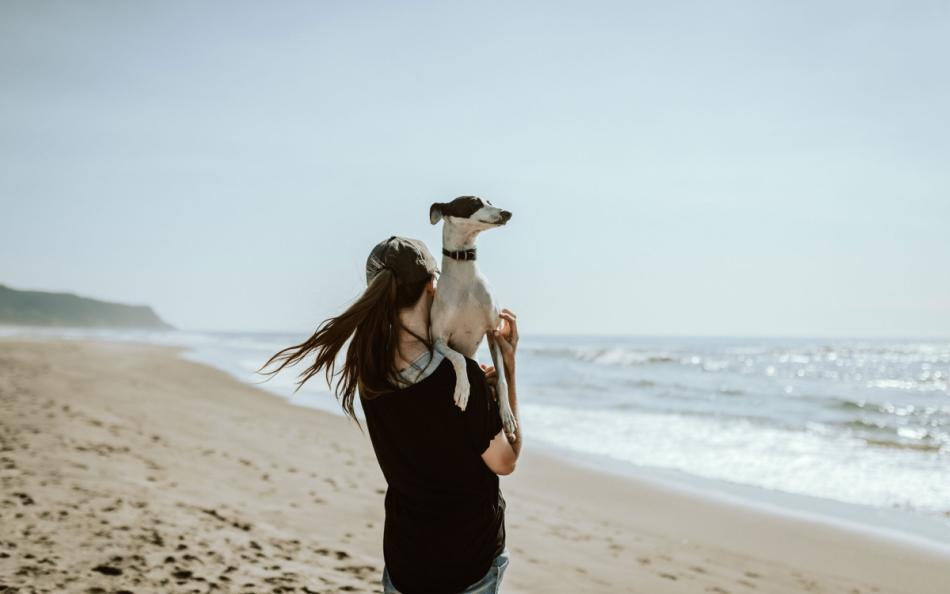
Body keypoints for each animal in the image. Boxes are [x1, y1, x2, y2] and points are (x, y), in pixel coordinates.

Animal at [432, 197, 520, 438]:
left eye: (489, 201)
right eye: (473, 202)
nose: (507, 213)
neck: (465, 277)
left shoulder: (492, 332)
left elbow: (502, 380)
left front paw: (507, 415)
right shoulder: (438, 340)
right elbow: (459, 358)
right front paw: (463, 390)